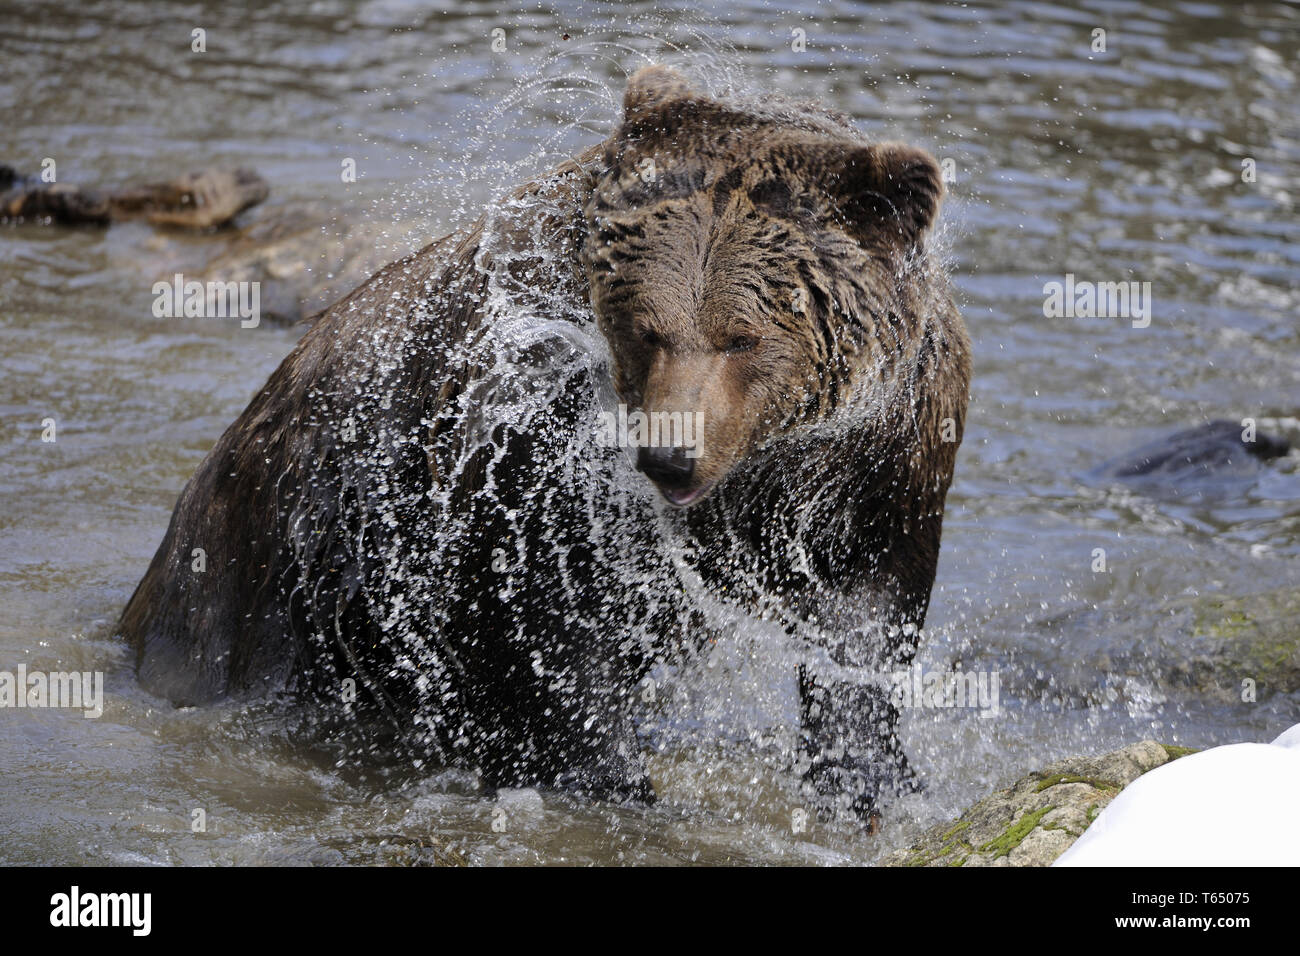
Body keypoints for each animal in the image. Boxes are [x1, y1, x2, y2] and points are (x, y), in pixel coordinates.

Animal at [120, 65, 971, 824]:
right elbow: (544, 627)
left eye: (743, 336)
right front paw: (608, 781)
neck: (764, 467)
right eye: (648, 327)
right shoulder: (525, 446)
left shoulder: (880, 457)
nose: (671, 456)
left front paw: (869, 781)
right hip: (276, 580)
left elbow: (864, 624)